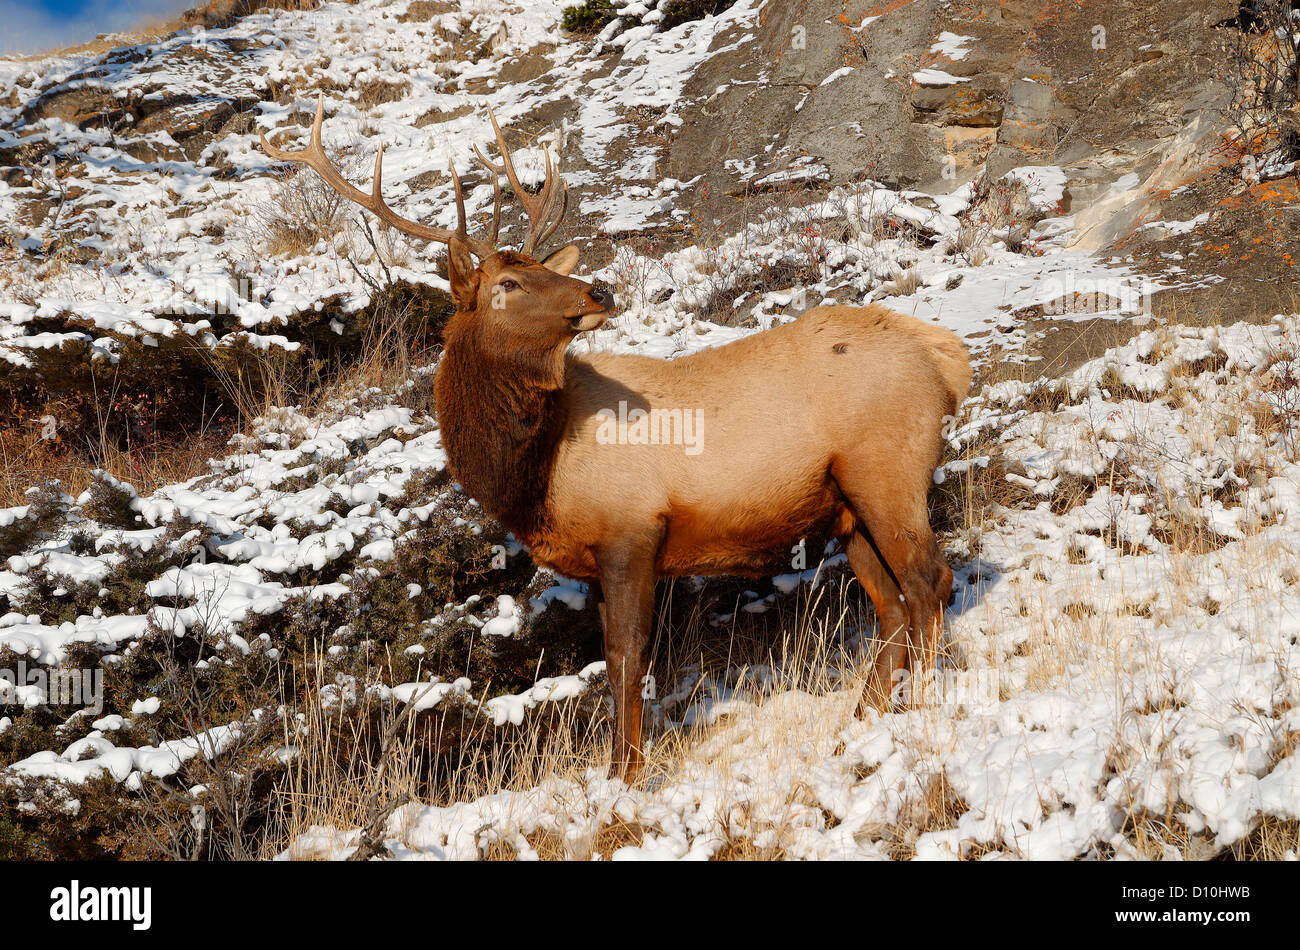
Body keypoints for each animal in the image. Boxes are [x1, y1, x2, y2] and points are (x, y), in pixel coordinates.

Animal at [258, 96, 972, 779]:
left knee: (930, 581)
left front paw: (625, 776)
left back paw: (918, 710)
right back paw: (863, 720)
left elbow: (629, 661)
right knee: (890, 606)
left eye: (538, 270)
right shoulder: (596, 558)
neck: (533, 472)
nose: (598, 290)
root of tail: (947, 356)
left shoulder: (632, 530)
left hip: (887, 472)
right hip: (845, 509)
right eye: (507, 283)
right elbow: (610, 664)